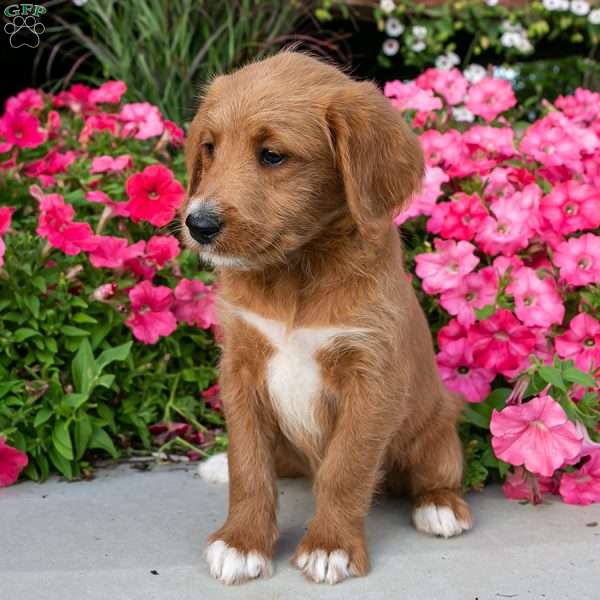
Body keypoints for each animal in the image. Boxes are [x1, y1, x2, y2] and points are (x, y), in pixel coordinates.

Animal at [180, 51, 472, 584]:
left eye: (272, 155)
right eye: (209, 148)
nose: (199, 224)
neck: (295, 271)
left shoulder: (371, 378)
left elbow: (345, 469)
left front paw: (329, 546)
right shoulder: (240, 369)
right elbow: (248, 465)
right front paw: (242, 542)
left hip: (438, 427)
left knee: (436, 473)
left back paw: (440, 506)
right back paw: (216, 464)